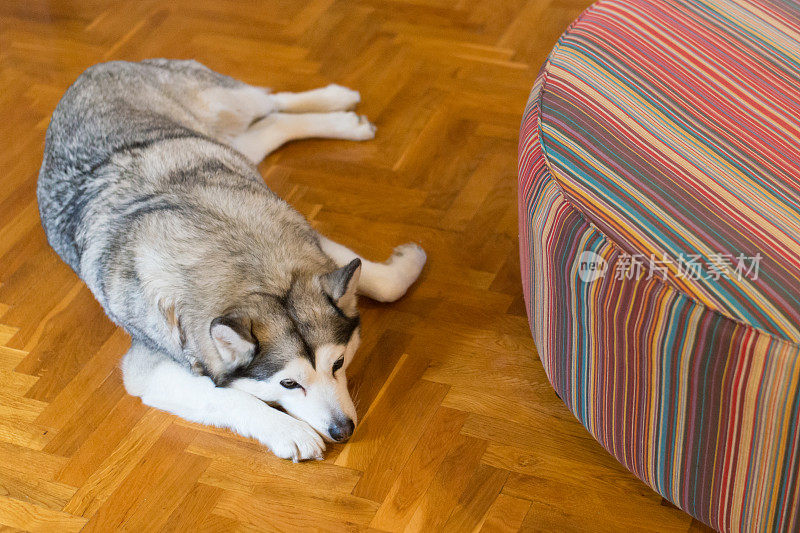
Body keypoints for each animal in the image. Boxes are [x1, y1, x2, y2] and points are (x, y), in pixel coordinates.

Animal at [39, 59, 424, 462]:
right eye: (289, 383)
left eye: (338, 363)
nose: (343, 430)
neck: (249, 267)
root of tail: (95, 67)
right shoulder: (146, 369)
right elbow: (227, 397)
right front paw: (289, 431)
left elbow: (386, 284)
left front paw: (409, 261)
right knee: (267, 120)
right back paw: (344, 115)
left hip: (226, 109)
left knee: (271, 102)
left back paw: (341, 106)